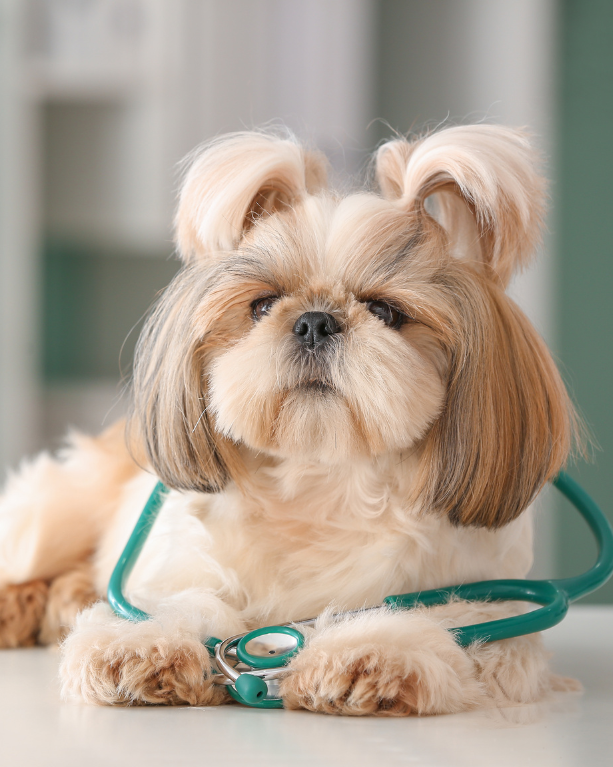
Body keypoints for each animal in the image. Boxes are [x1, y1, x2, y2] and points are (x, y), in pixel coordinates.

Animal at [0, 123, 580, 716]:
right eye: (262, 305)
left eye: (386, 312)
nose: (315, 321)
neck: (321, 482)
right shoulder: (184, 566)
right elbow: (185, 602)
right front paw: (146, 646)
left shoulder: (490, 606)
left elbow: (454, 622)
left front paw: (370, 653)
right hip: (54, 511)